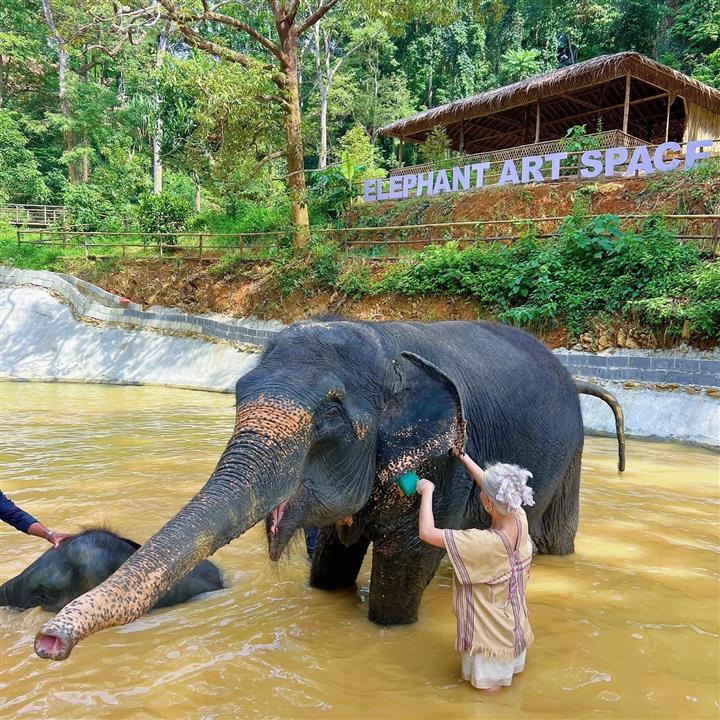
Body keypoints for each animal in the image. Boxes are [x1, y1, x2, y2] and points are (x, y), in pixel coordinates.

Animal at [34, 319, 624, 660]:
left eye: (331, 417)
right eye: (237, 395)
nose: (48, 642)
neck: (386, 343)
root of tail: (572, 376)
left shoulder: (444, 461)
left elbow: (407, 563)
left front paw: (389, 621)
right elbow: (331, 564)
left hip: (568, 452)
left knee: (550, 537)